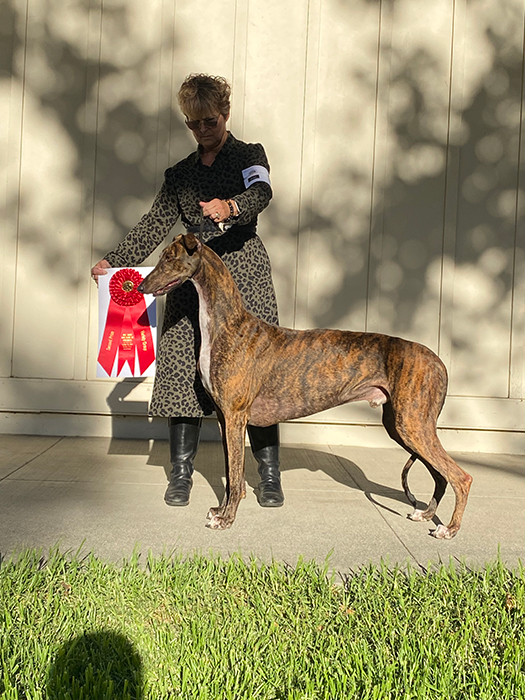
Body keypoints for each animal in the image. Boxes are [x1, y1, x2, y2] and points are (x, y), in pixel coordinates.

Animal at [139, 233, 472, 538]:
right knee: (441, 474)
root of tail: (438, 361)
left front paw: (226, 519)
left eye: (169, 258)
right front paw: (220, 511)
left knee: (460, 476)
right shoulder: (224, 417)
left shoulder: (235, 416)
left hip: (413, 425)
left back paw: (450, 529)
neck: (227, 325)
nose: (141, 287)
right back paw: (425, 515)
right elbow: (231, 473)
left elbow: (234, 475)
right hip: (402, 426)